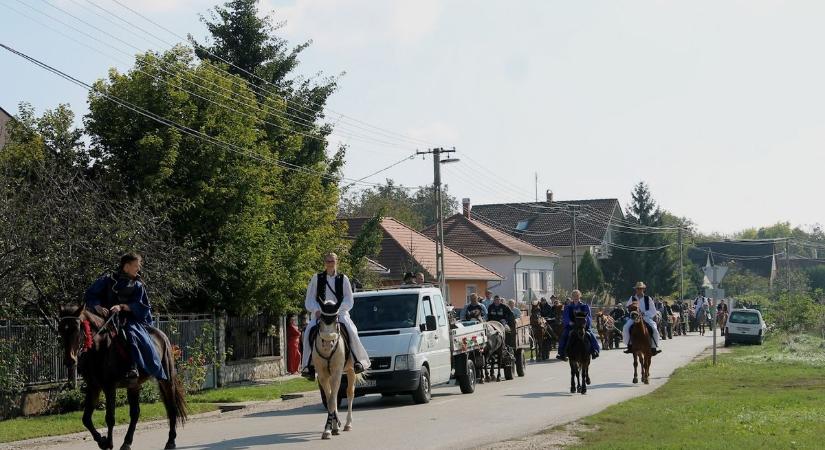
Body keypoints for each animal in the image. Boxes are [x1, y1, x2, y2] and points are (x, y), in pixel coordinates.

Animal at [58, 304, 187, 448]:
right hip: (134, 385)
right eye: (61, 329)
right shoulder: (93, 387)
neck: (99, 348)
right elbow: (86, 419)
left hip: (166, 380)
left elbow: (110, 418)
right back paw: (127, 442)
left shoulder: (109, 387)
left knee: (172, 408)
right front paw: (102, 441)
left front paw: (108, 443)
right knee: (135, 413)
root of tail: (162, 335)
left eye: (76, 328)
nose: (69, 360)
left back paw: (171, 441)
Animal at [310, 298, 362, 440]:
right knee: (334, 395)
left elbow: (332, 401)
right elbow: (330, 400)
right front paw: (331, 427)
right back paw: (337, 424)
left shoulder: (337, 373)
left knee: (350, 393)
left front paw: (330, 428)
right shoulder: (322, 375)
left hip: (350, 371)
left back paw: (348, 424)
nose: (328, 344)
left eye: (336, 320)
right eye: (321, 321)